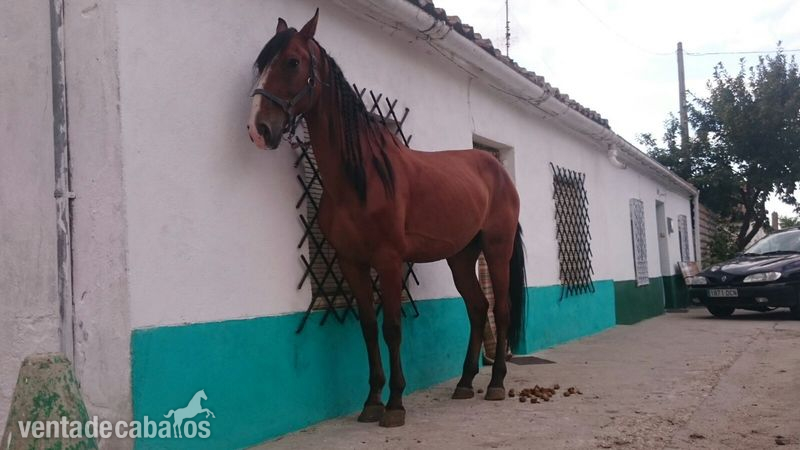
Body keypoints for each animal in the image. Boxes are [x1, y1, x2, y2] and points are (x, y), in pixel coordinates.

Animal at [246, 9, 526, 427]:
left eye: (293, 62)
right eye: (262, 63)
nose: (258, 128)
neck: (362, 177)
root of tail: (499, 171)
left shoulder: (390, 261)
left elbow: (392, 327)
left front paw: (395, 404)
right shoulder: (352, 263)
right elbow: (366, 327)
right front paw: (371, 401)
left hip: (496, 248)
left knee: (500, 308)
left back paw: (496, 384)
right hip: (461, 256)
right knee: (477, 309)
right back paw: (464, 383)